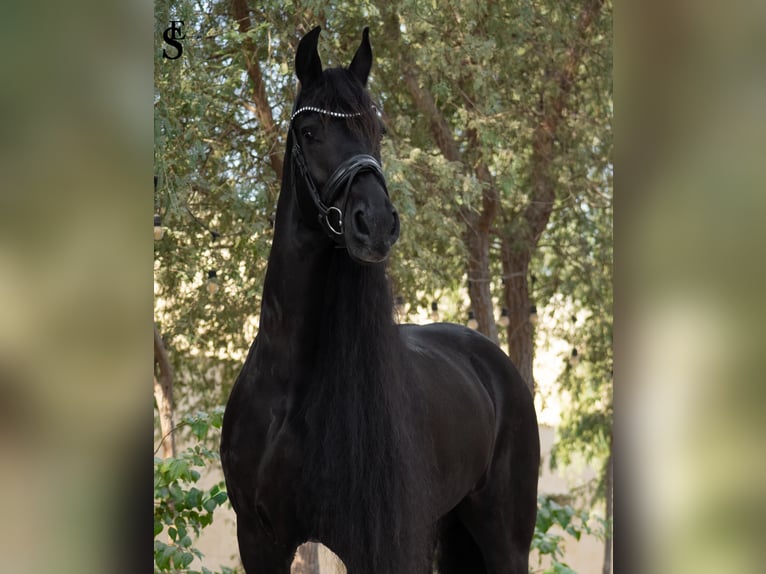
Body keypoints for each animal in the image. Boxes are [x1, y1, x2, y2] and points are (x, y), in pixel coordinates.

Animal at [220, 26, 540, 574]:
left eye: (378, 130)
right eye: (310, 132)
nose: (376, 223)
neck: (288, 386)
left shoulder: (372, 542)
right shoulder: (260, 539)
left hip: (505, 537)